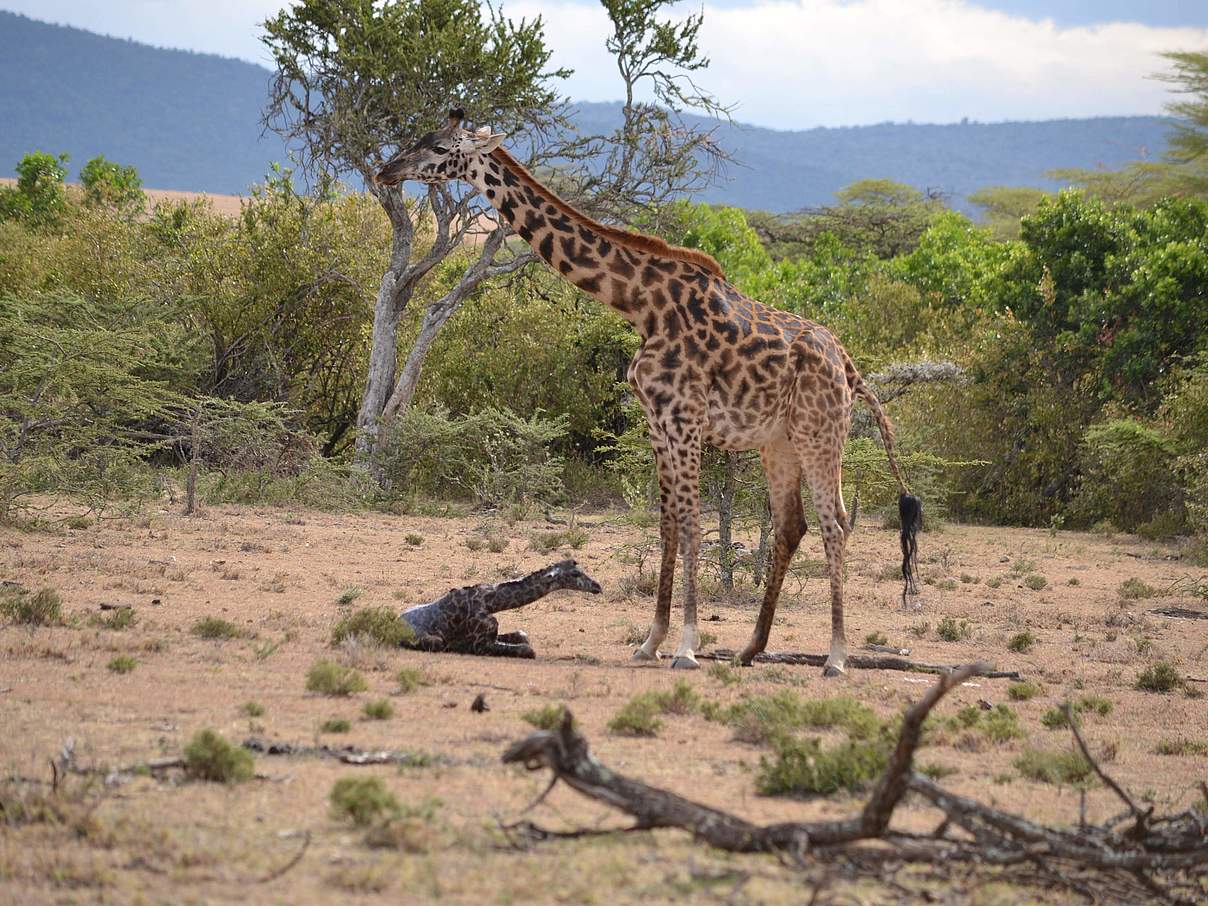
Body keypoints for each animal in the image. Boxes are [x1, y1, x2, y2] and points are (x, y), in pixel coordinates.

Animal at [398, 560, 601, 661]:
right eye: (575, 573)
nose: (597, 586)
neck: (490, 602)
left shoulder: (494, 634)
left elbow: (523, 635)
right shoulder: (480, 644)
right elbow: (527, 650)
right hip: (434, 641)